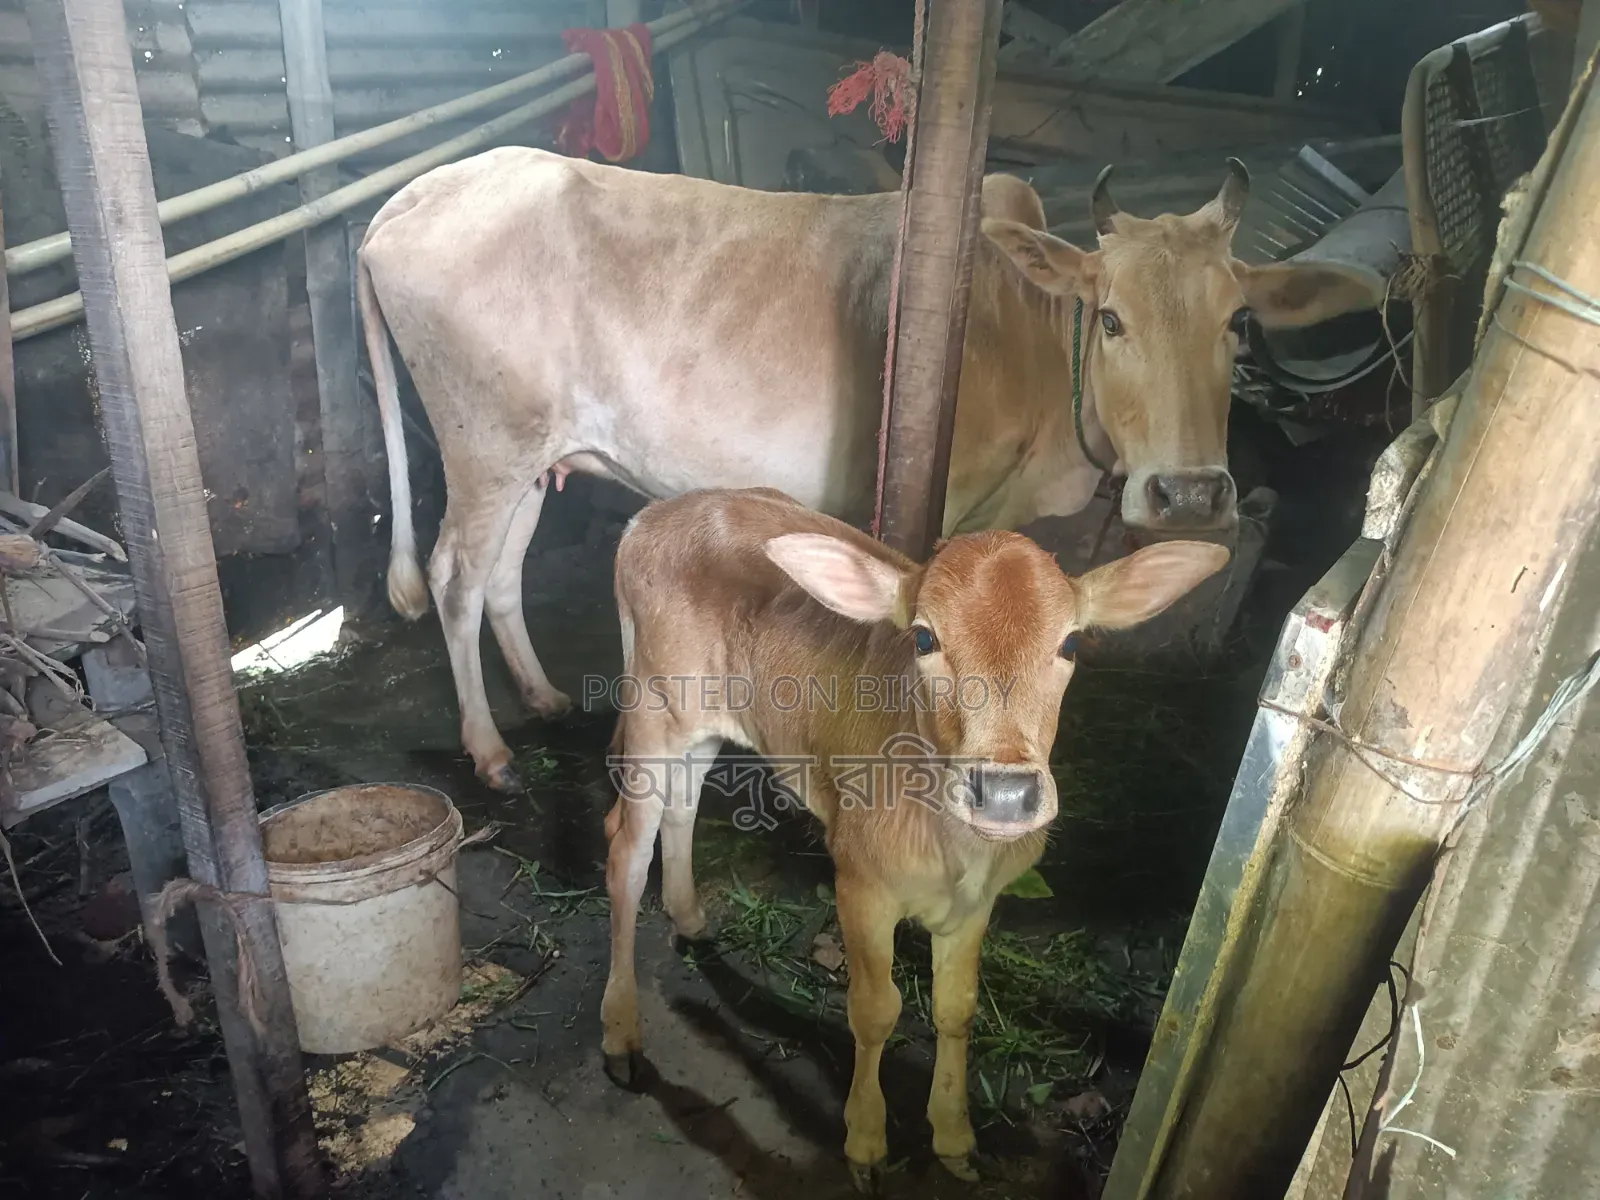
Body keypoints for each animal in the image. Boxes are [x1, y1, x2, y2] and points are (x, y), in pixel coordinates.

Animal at [355, 146, 1377, 790]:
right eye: (1113, 317)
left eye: (1237, 322)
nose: (1190, 492)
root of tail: (406, 203)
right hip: (485, 442)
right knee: (453, 579)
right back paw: (488, 750)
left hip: (534, 453)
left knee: (500, 575)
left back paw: (540, 695)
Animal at [597, 486, 1229, 1190]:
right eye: (924, 636)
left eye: (1069, 645)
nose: (1004, 793)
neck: (953, 847)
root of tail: (655, 515)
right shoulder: (860, 882)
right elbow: (876, 1009)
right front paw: (866, 1145)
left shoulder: (978, 903)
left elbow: (957, 1008)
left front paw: (954, 1138)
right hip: (652, 709)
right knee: (624, 848)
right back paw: (621, 1038)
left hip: (702, 723)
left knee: (680, 808)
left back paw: (690, 918)